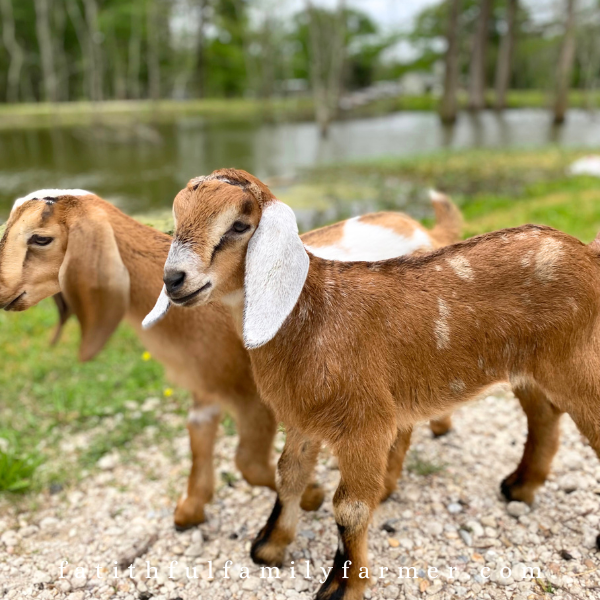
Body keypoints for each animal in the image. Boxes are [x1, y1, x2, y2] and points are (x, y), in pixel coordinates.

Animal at [1, 186, 460, 524]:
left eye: (41, 238)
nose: (2, 293)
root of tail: (424, 233)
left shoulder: (255, 396)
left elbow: (248, 463)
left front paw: (310, 495)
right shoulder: (204, 390)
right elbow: (199, 441)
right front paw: (190, 510)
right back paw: (439, 425)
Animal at [152, 170, 600, 600]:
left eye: (239, 225)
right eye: (175, 221)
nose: (174, 279)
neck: (309, 316)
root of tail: (586, 253)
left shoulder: (365, 425)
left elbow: (348, 507)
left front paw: (342, 586)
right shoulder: (302, 419)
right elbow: (288, 474)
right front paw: (269, 547)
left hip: (575, 360)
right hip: (528, 369)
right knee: (544, 416)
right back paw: (519, 487)